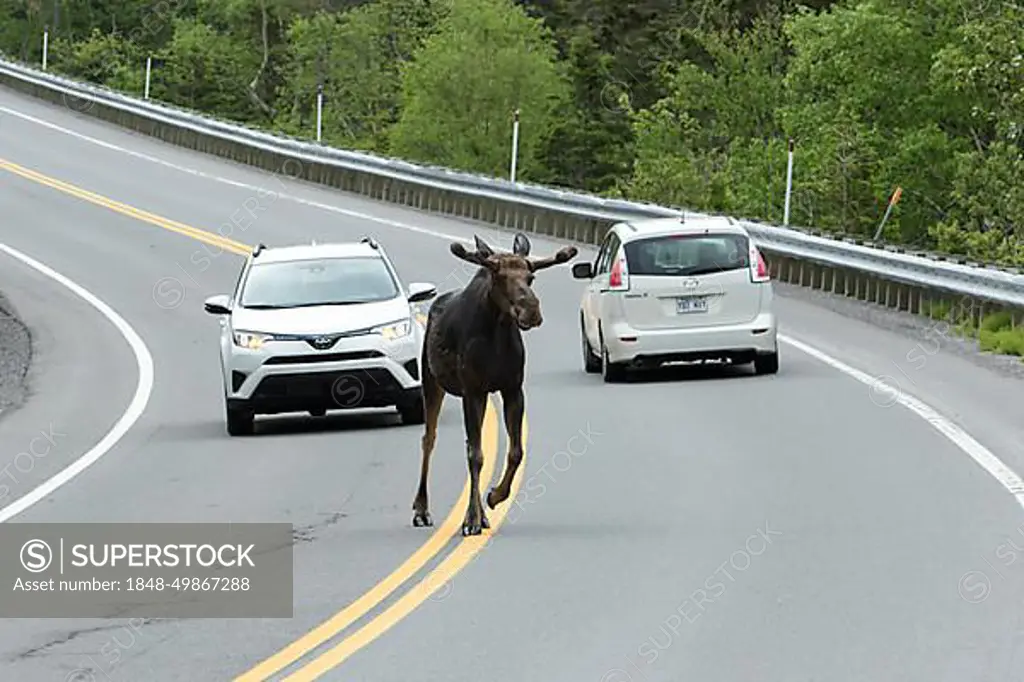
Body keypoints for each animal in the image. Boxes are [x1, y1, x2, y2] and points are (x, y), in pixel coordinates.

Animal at [411, 231, 581, 532]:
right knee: (429, 439)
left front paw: (495, 496)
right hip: (432, 382)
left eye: (530, 277)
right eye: (499, 276)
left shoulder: (512, 388)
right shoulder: (472, 390)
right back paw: (421, 508)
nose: (531, 311)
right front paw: (472, 518)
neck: (497, 331)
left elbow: (515, 452)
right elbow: (476, 456)